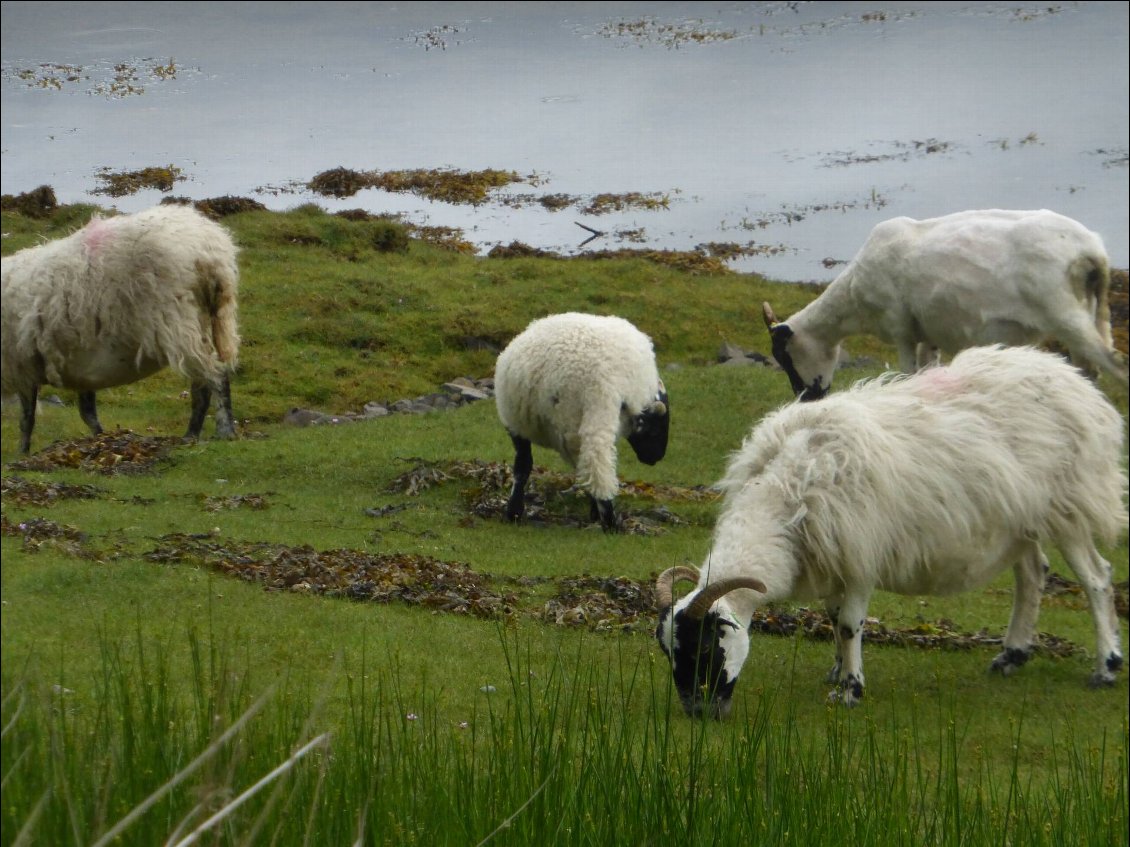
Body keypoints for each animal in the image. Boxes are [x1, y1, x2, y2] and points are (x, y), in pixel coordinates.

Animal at [1, 204, 240, 458]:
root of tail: (209, 252)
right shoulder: (80, 365)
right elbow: (87, 411)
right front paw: (100, 437)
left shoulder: (21, 365)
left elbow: (27, 418)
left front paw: (22, 452)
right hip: (205, 320)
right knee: (205, 382)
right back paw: (195, 434)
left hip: (177, 321)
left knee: (214, 376)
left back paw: (219, 431)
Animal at [497, 316, 668, 533]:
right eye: (656, 429)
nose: (655, 458)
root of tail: (543, 374)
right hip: (593, 406)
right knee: (596, 460)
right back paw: (609, 521)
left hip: (518, 419)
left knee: (523, 463)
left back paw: (514, 512)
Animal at [659, 345, 1125, 718]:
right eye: (669, 651)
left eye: (705, 647)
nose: (699, 711)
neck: (783, 496)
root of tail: (1076, 382)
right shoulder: (831, 555)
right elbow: (833, 618)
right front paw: (837, 672)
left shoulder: (859, 554)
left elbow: (849, 623)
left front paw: (851, 690)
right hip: (1017, 520)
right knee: (1032, 574)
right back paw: (1011, 656)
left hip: (1069, 504)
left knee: (1096, 578)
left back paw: (1106, 666)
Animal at [763, 208, 1125, 402]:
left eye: (786, 356)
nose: (807, 399)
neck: (853, 298)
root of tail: (1092, 251)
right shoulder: (927, 334)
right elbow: (927, 373)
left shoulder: (900, 329)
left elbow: (908, 374)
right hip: (1089, 311)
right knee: (1089, 370)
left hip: (1064, 312)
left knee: (1116, 364)